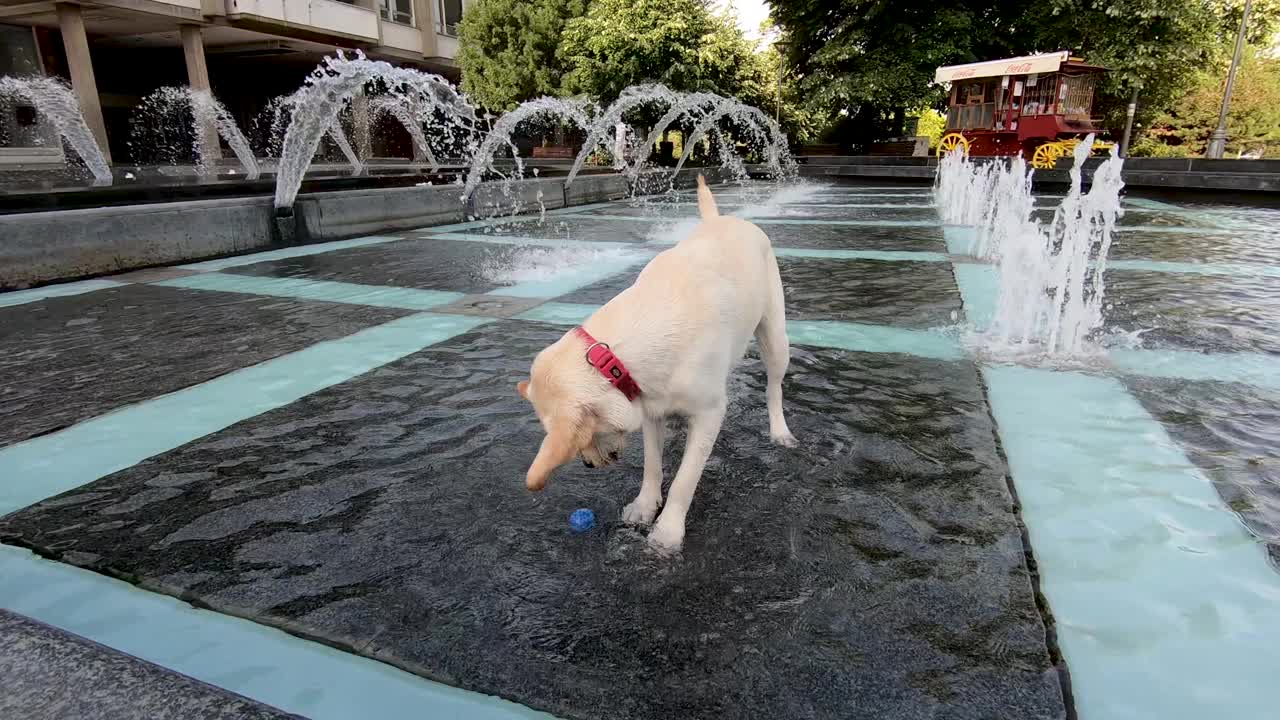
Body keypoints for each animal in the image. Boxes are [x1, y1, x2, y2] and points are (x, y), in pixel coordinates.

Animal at [514, 175, 793, 548]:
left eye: (587, 439)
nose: (587, 466)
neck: (613, 353)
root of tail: (721, 220)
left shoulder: (709, 414)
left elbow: (685, 480)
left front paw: (668, 530)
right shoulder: (647, 406)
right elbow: (651, 464)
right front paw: (645, 505)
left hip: (775, 335)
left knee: (774, 387)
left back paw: (779, 431)